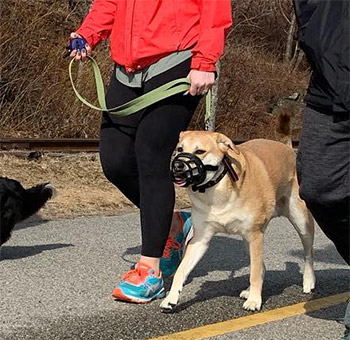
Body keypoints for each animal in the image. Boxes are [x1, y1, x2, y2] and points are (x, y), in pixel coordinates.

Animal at [160, 115, 316, 312]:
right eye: (180, 149)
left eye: (200, 151)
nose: (178, 165)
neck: (217, 188)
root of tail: (287, 147)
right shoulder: (200, 239)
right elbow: (181, 270)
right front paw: (171, 297)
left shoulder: (255, 235)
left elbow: (254, 273)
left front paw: (255, 300)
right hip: (247, 240)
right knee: (261, 266)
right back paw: (250, 291)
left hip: (300, 221)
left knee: (307, 255)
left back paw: (308, 281)